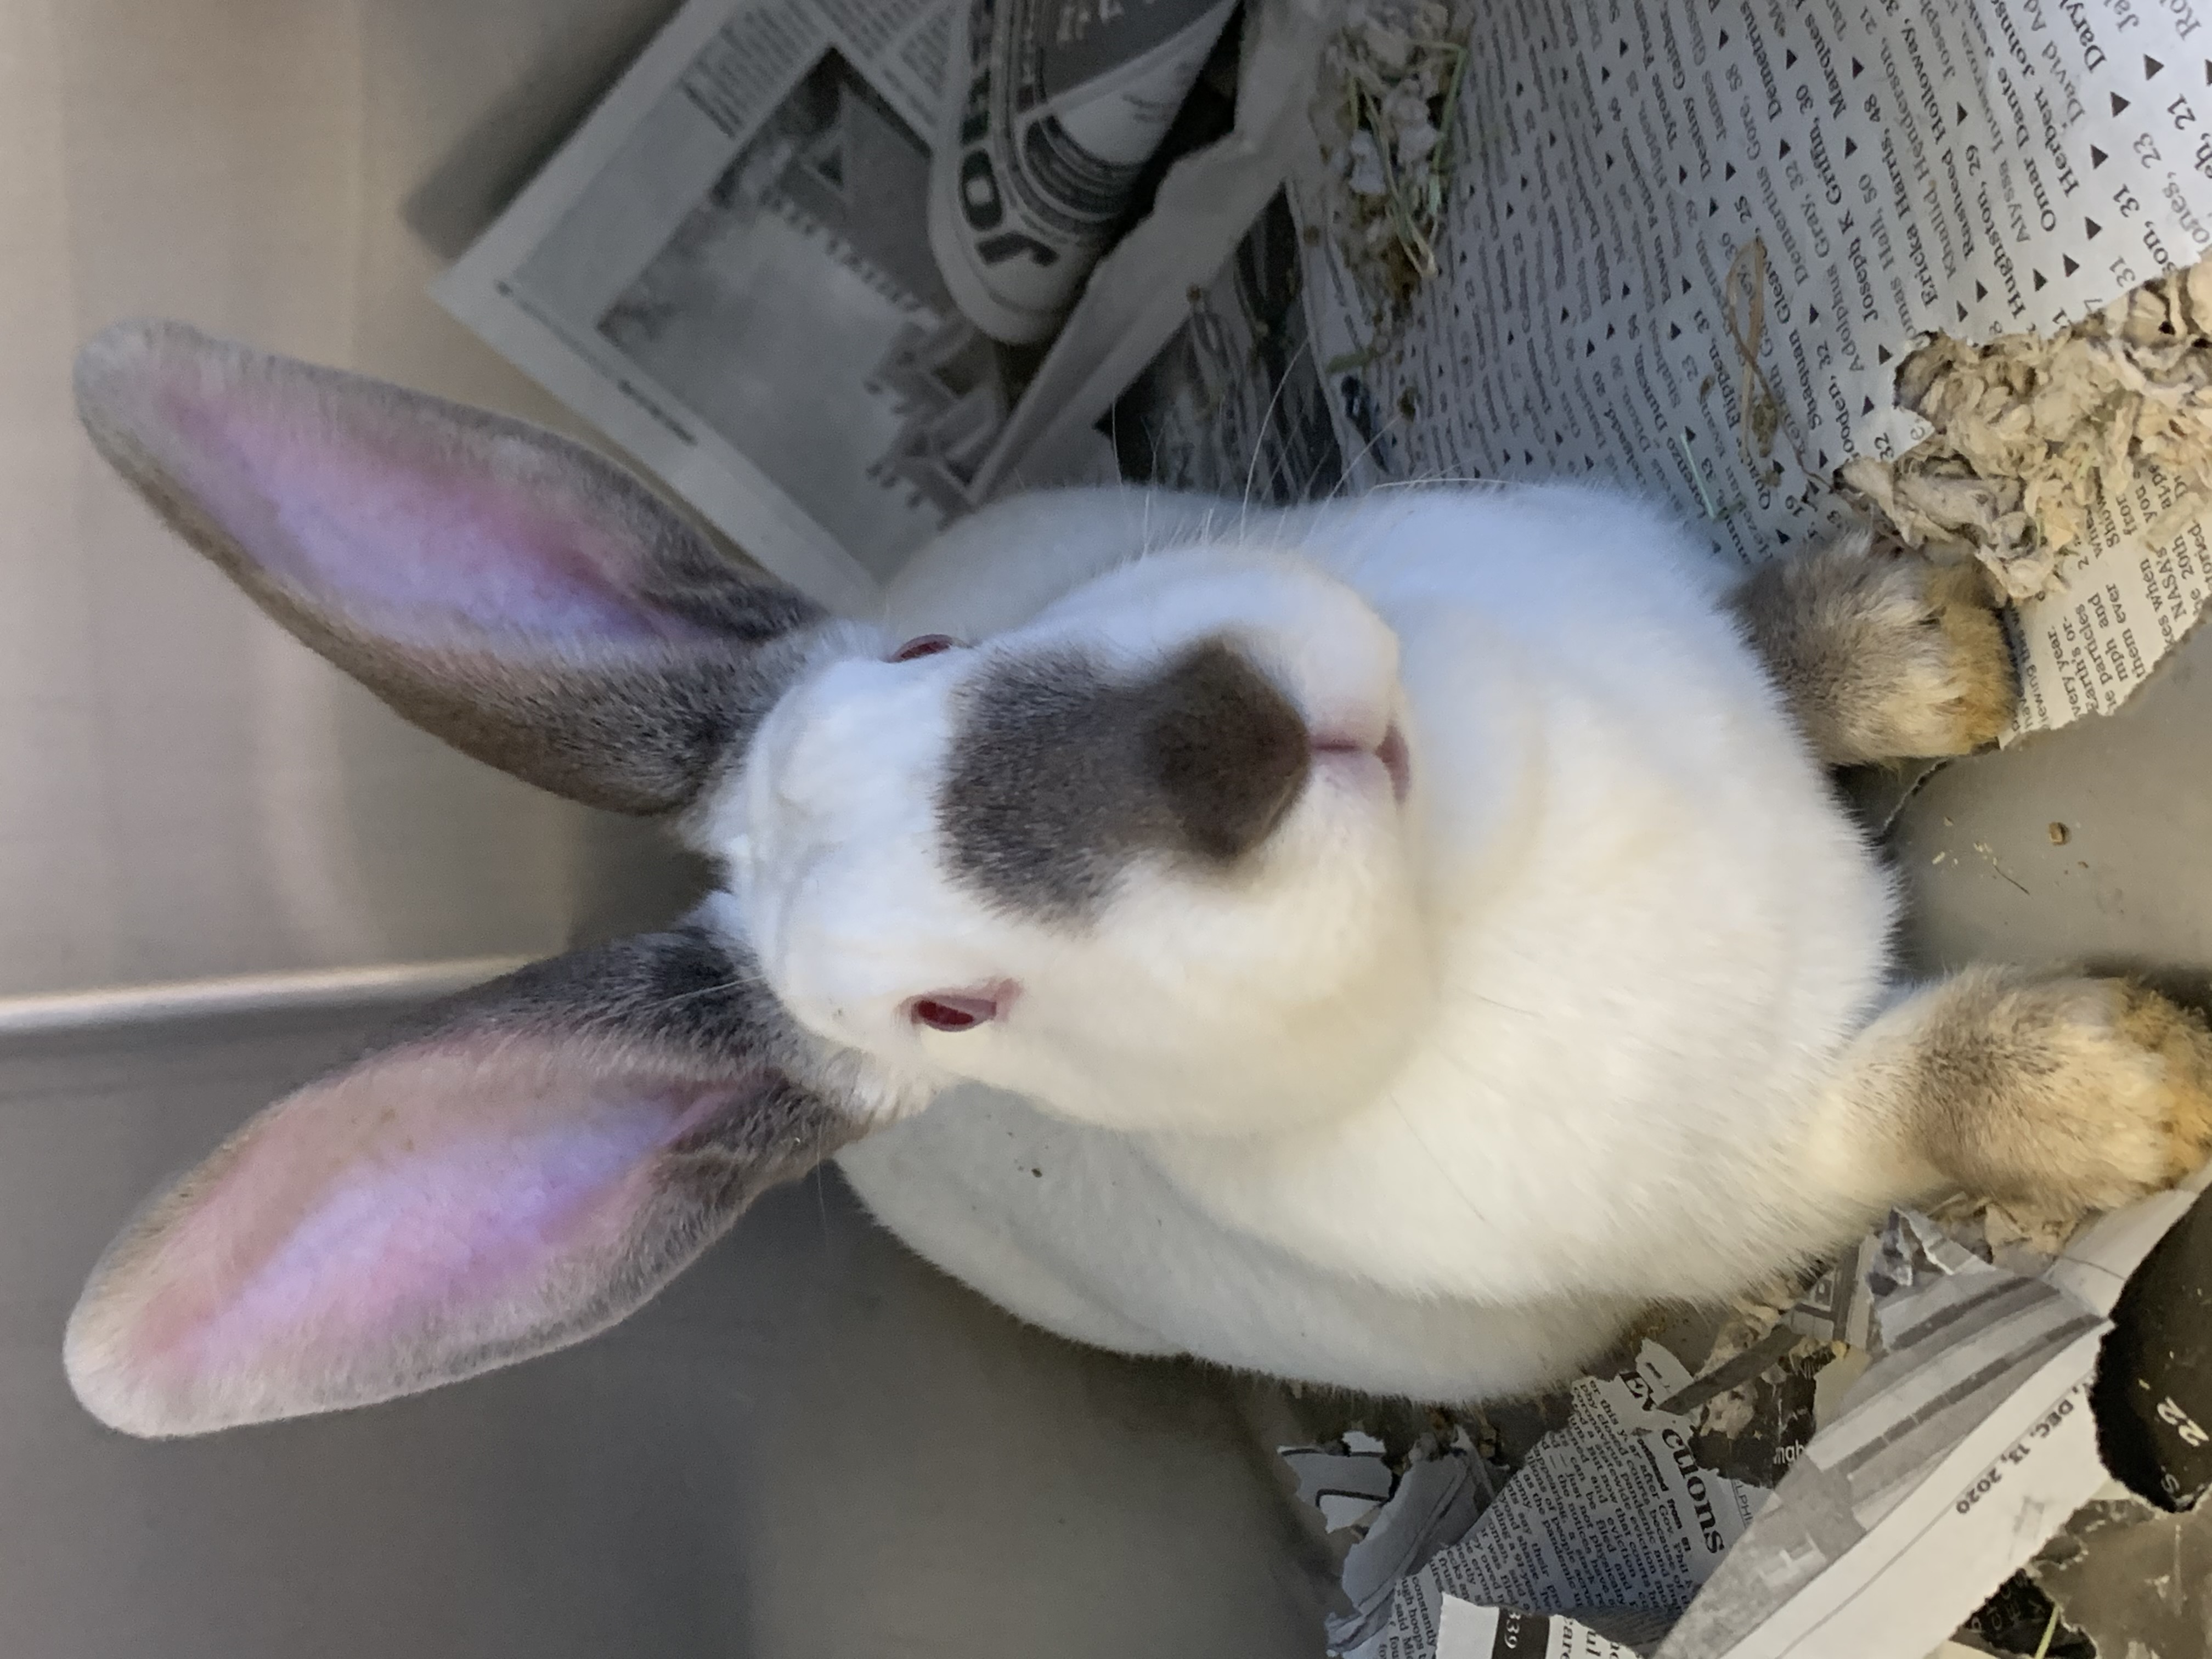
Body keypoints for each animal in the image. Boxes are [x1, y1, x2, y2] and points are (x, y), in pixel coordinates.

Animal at [58, 319, 2212, 1440]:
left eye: (928, 656)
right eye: (950, 1010)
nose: (1222, 746)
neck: (1477, 854)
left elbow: (1766, 652)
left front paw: (1924, 641)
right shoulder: (1760, 1158)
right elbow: (1911, 1094)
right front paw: (2132, 1089)